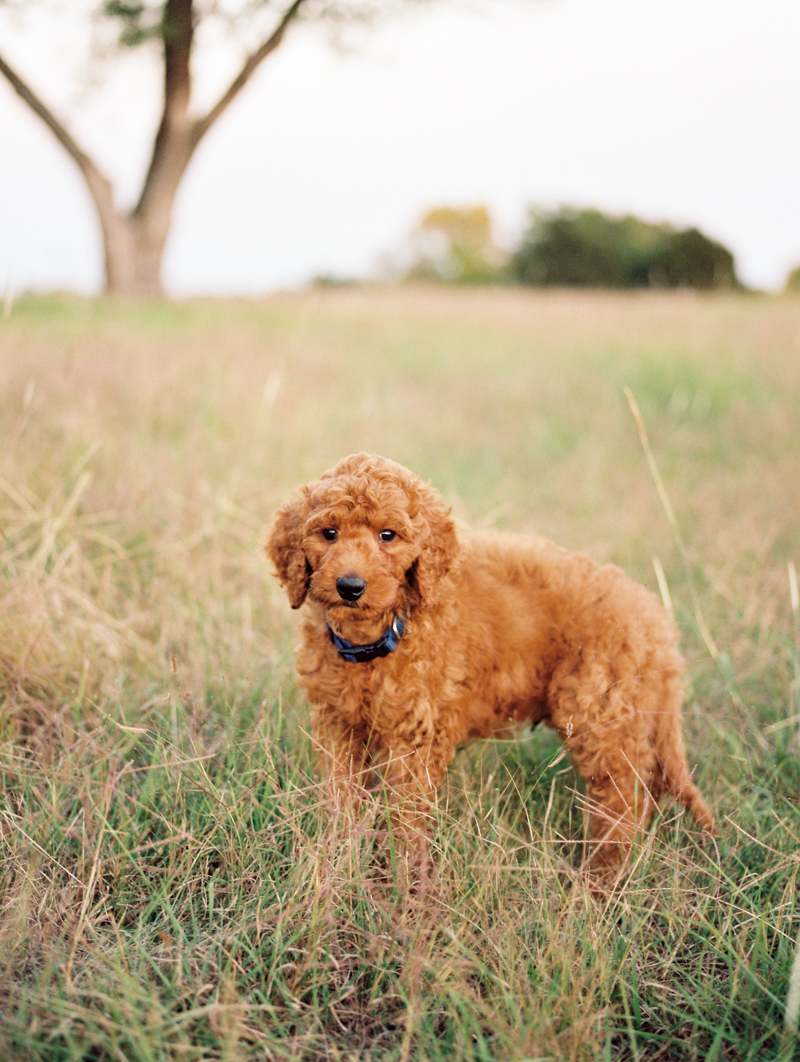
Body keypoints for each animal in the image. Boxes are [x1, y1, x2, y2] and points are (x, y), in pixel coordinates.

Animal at [266, 452, 709, 883]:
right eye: (329, 533)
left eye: (387, 535)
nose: (350, 586)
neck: (378, 636)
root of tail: (656, 621)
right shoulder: (338, 726)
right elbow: (340, 801)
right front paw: (335, 862)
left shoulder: (416, 738)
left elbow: (406, 819)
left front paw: (404, 884)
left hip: (600, 713)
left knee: (624, 802)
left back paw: (598, 882)